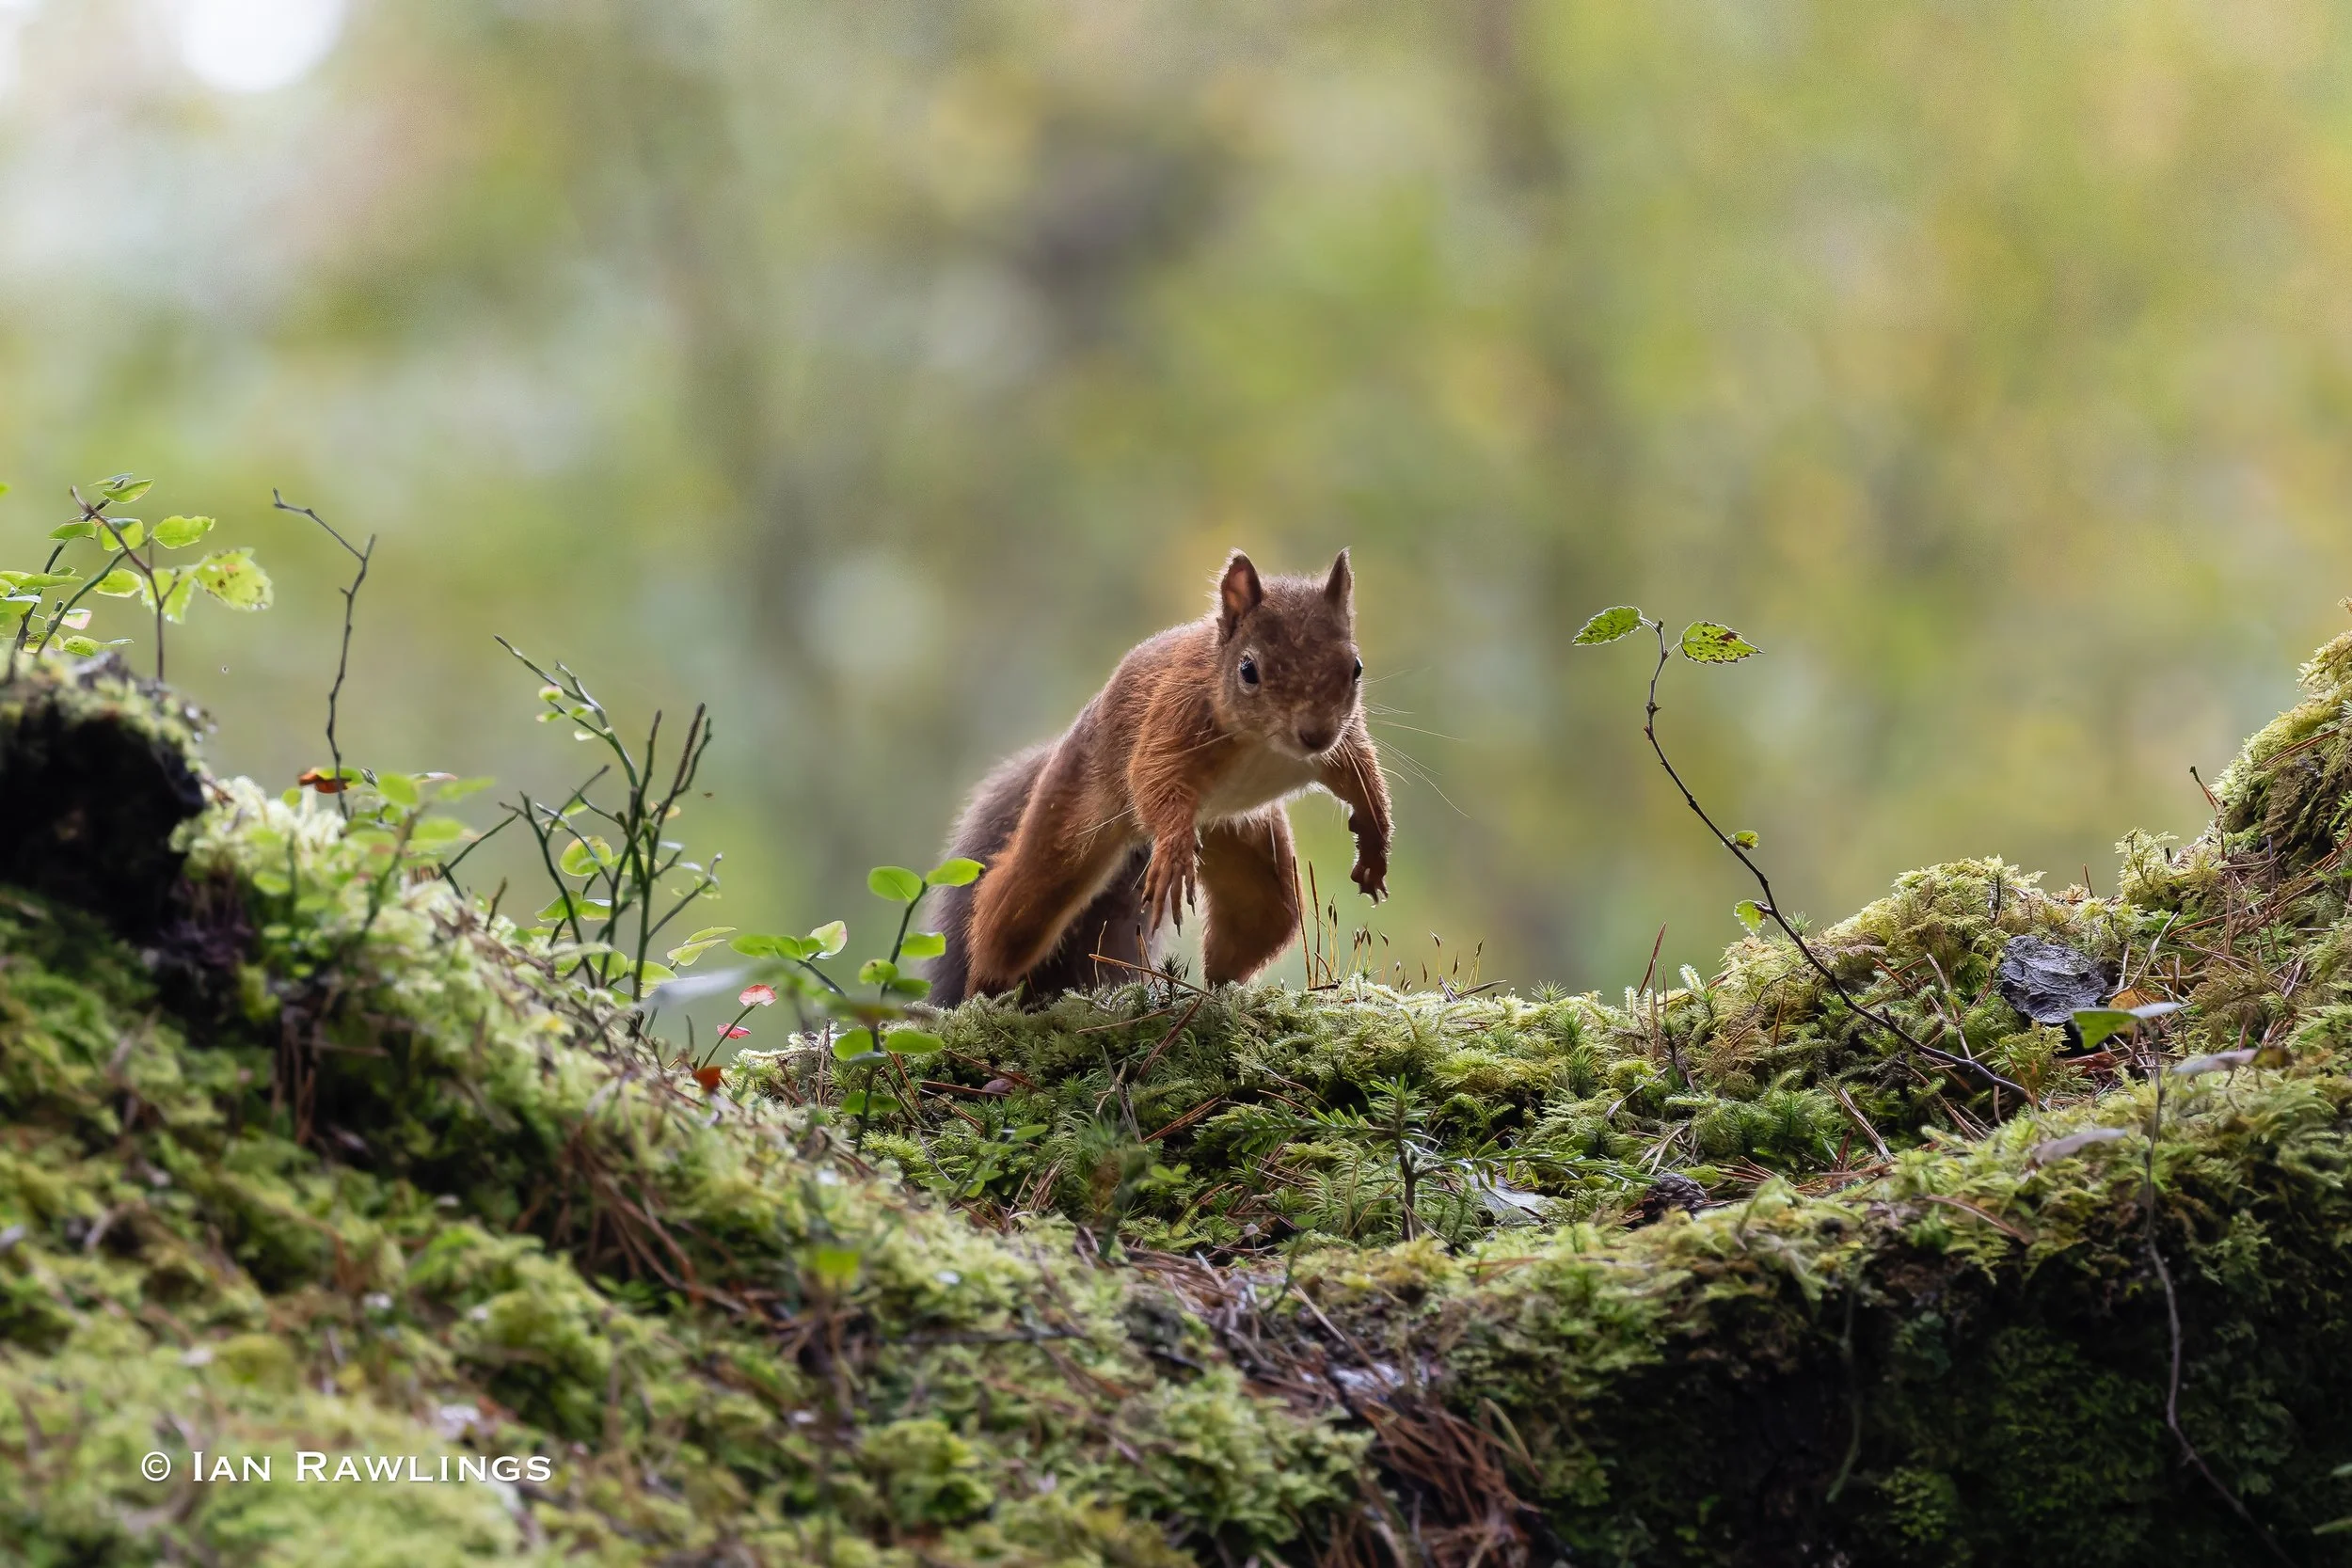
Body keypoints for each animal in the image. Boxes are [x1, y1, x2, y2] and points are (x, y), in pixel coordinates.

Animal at [927, 549, 1392, 1007]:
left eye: (1356, 667)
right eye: (1248, 670)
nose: (1315, 735)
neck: (1263, 743)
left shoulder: (1344, 742)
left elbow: (1363, 781)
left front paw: (1373, 841)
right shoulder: (1173, 717)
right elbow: (1151, 777)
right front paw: (1171, 852)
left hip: (1235, 835)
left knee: (1260, 916)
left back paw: (1218, 993)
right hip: (1068, 815)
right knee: (1018, 905)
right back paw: (982, 994)